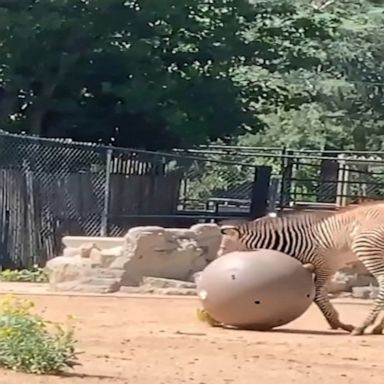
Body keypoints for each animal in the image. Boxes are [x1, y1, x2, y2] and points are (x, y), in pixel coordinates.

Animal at [218, 202, 384, 334]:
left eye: (224, 248)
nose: (216, 263)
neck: (301, 241)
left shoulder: (324, 265)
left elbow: (317, 295)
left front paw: (338, 323)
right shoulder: (326, 266)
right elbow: (321, 294)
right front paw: (335, 321)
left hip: (366, 249)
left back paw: (363, 327)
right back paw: (377, 328)